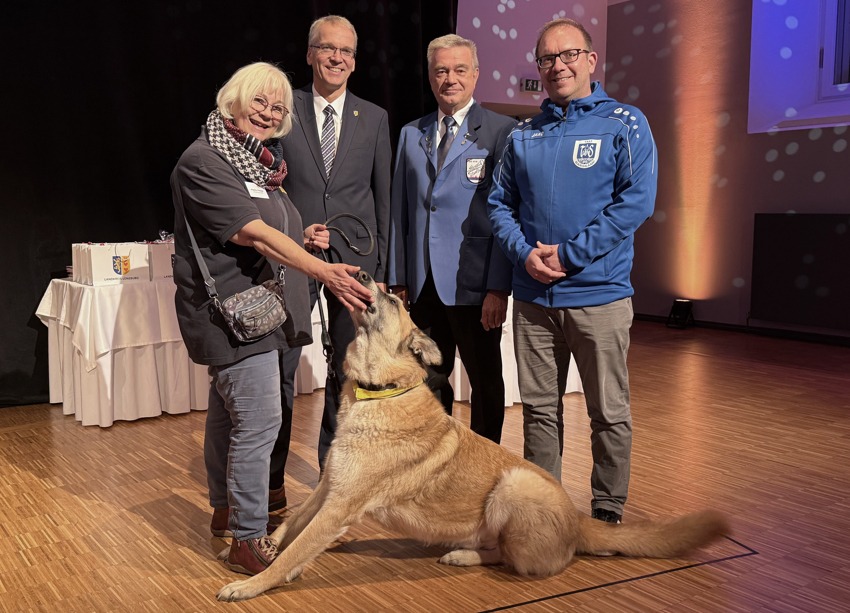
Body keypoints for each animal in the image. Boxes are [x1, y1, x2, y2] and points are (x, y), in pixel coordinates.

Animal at [215, 274, 724, 604]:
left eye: (394, 301)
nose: (359, 272)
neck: (380, 389)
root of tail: (579, 520)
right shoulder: (328, 488)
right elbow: (288, 528)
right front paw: (257, 549)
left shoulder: (339, 504)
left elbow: (295, 548)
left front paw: (254, 583)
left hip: (513, 485)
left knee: (514, 560)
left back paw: (464, 555)